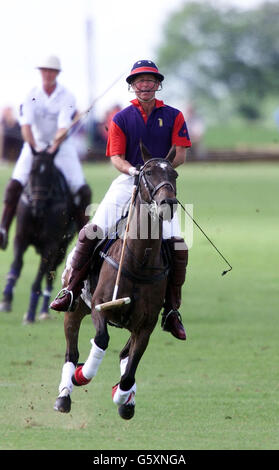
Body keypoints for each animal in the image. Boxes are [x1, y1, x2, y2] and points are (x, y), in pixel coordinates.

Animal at [0, 148, 76, 324]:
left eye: (50, 174)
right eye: (31, 172)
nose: (36, 207)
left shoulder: (51, 245)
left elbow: (40, 276)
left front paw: (30, 313)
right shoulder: (21, 238)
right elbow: (17, 264)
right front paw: (6, 299)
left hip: (61, 249)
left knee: (50, 274)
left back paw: (44, 310)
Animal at [53, 145, 178, 420]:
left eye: (174, 174)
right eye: (147, 172)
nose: (168, 203)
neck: (139, 260)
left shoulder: (146, 325)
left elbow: (130, 369)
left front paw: (123, 397)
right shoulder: (101, 306)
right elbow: (100, 340)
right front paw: (82, 375)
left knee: (123, 355)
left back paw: (127, 398)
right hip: (75, 309)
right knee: (71, 352)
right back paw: (64, 395)